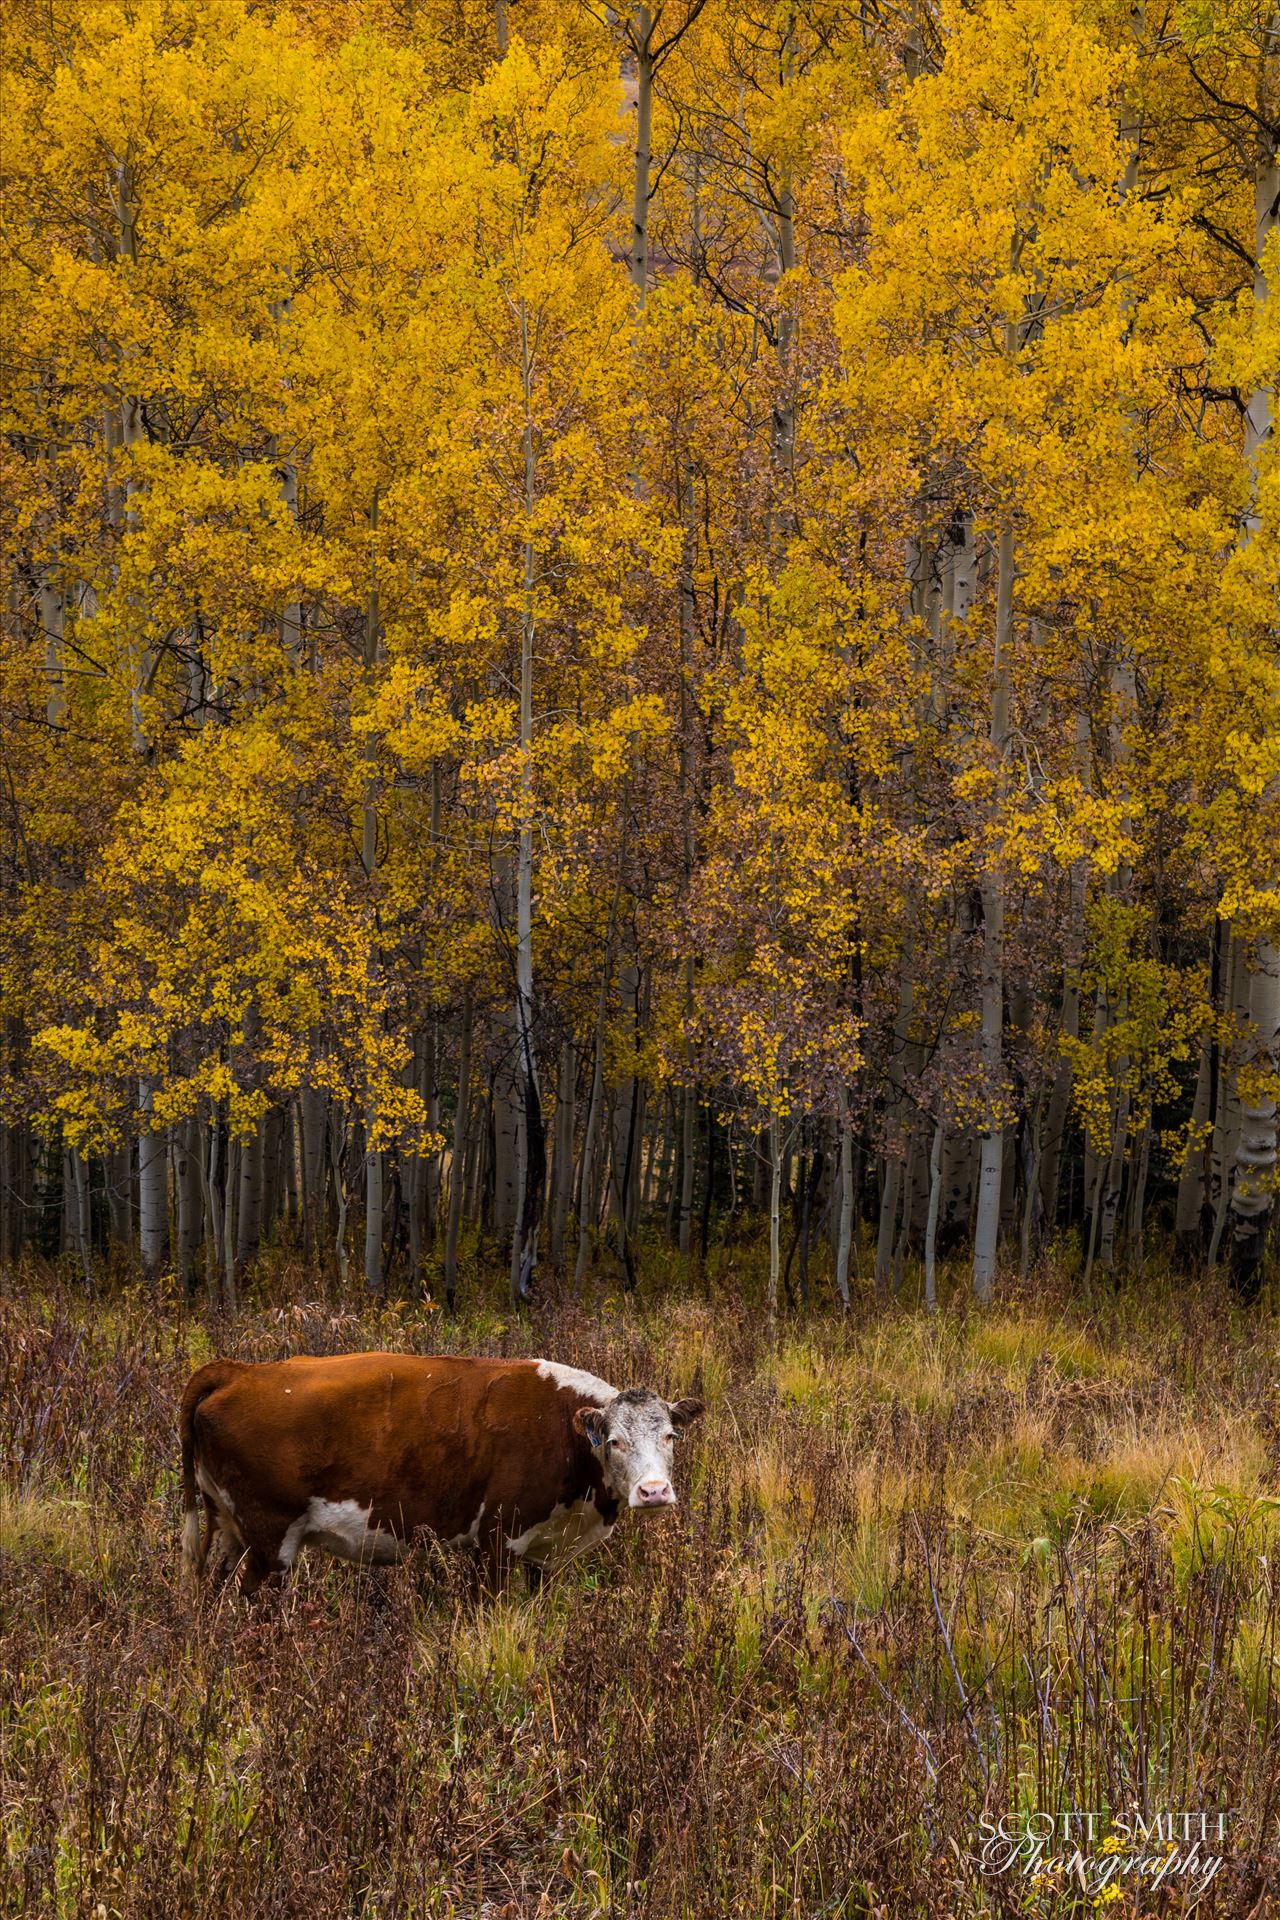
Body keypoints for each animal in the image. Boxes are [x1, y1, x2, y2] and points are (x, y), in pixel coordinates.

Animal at [179, 1351, 706, 1589]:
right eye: (614, 1441)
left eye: (670, 1436)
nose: (654, 1491)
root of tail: (240, 1370)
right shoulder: (498, 1538)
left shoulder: (543, 1554)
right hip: (271, 1540)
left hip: (227, 1527)